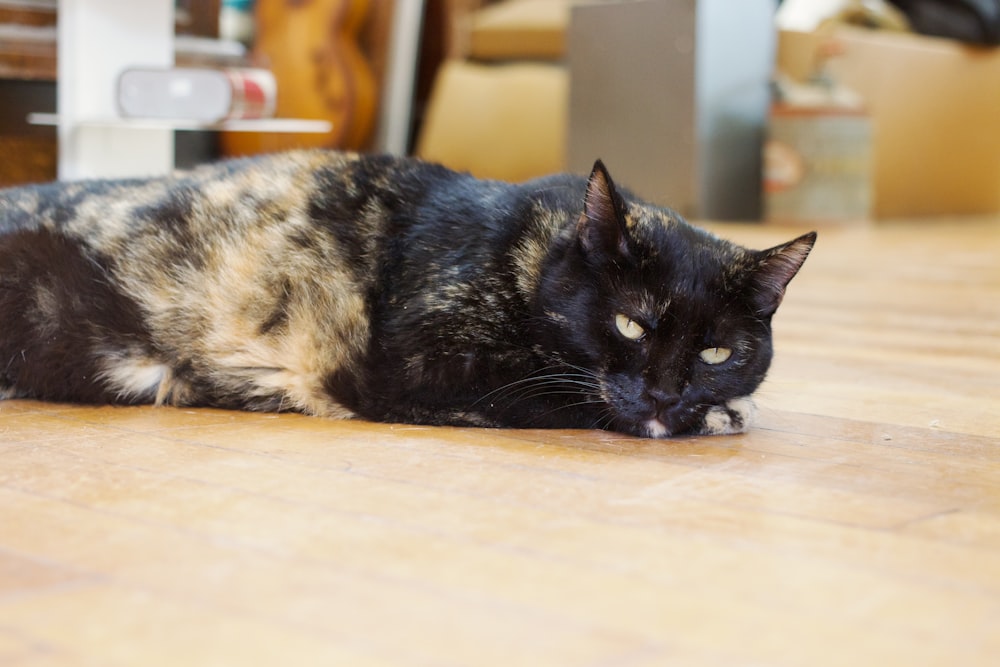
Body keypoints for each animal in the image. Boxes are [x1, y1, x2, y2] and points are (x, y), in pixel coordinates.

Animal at [0, 154, 812, 440]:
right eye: (631, 324)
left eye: (718, 351)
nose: (669, 393)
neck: (525, 257)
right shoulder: (419, 364)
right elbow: (558, 393)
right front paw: (721, 415)